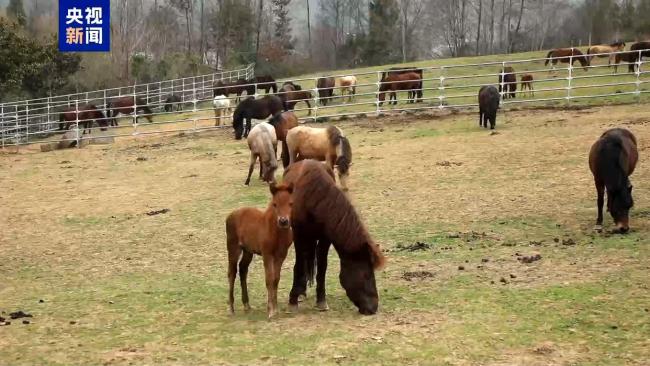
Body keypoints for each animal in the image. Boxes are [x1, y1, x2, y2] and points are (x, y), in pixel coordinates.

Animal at [224, 183, 292, 318]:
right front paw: (270, 311)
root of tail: (230, 215)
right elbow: (269, 279)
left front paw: (275, 308)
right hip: (233, 247)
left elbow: (276, 279)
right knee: (232, 272)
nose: (283, 221)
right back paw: (231, 308)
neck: (276, 233)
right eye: (275, 204)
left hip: (248, 251)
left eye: (291, 203)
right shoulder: (267, 254)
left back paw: (246, 304)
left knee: (243, 269)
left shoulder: (281, 255)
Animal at [280, 160, 382, 314]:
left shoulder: (325, 239)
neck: (313, 199)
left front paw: (321, 300)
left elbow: (322, 266)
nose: (373, 308)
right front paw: (293, 300)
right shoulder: (298, 235)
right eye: (367, 274)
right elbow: (299, 264)